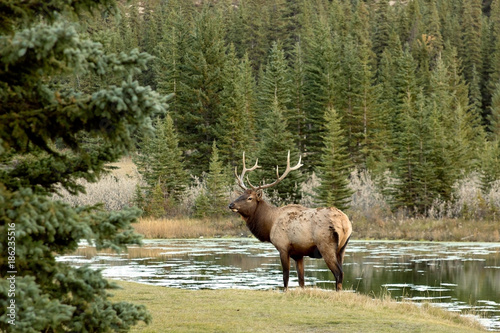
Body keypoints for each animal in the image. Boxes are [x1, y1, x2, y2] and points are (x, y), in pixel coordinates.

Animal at [229, 152, 354, 290]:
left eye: (250, 198)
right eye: (241, 195)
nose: (231, 204)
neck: (269, 224)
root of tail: (344, 223)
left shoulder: (283, 247)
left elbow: (286, 276)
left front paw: (285, 291)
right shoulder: (298, 254)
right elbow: (301, 280)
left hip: (326, 245)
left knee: (338, 273)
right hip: (342, 248)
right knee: (341, 272)